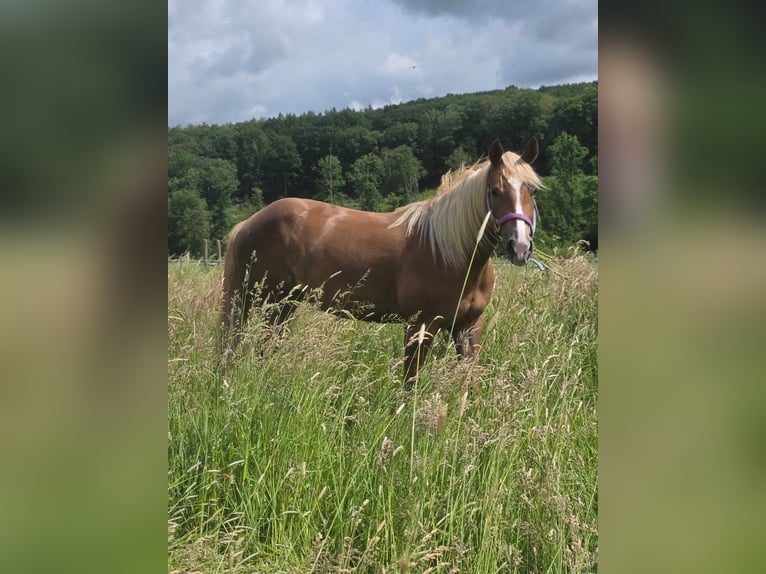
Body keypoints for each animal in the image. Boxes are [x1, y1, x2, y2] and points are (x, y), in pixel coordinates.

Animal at [220, 138, 542, 386]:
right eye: (494, 191)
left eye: (533, 191)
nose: (519, 247)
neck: (448, 251)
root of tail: (248, 223)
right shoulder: (419, 325)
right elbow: (410, 383)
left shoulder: (468, 327)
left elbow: (469, 382)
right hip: (265, 300)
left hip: (285, 304)